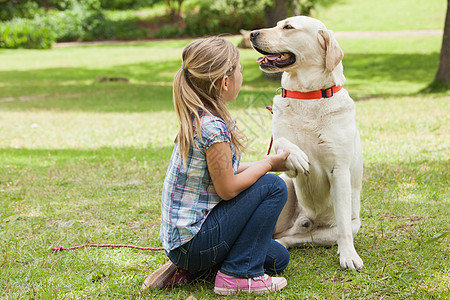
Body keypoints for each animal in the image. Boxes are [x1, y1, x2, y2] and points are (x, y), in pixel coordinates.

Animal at [251, 15, 364, 270]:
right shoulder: (282, 150)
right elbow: (285, 143)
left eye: (288, 27)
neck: (307, 96)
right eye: (277, 24)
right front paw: (298, 156)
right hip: (285, 186)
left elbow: (343, 227)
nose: (252, 34)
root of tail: (304, 221)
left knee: (295, 238)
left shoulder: (339, 171)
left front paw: (349, 256)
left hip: (345, 226)